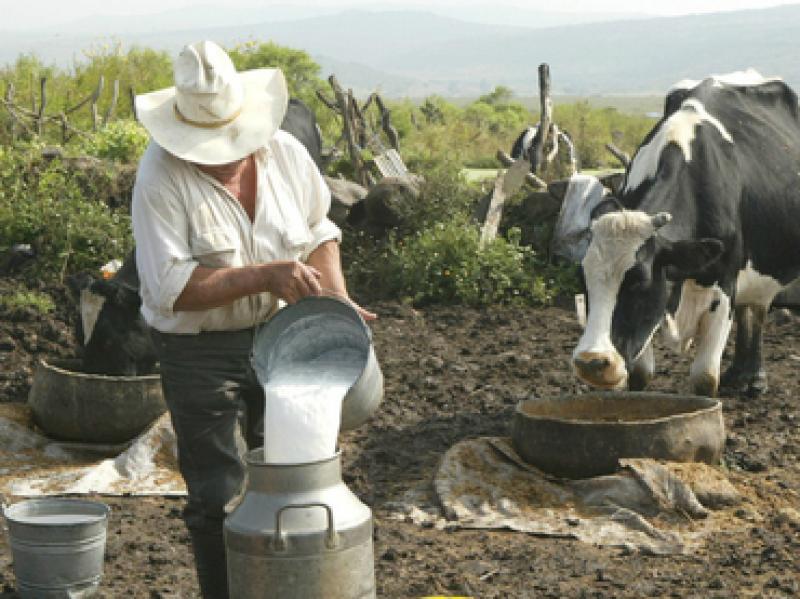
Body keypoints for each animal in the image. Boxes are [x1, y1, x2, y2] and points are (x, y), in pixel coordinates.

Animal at [572, 70, 796, 398]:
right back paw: (739, 376)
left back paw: (754, 380)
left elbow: (704, 378)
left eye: (639, 281)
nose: (591, 362)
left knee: (755, 309)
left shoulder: (724, 283)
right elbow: (640, 375)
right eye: (582, 277)